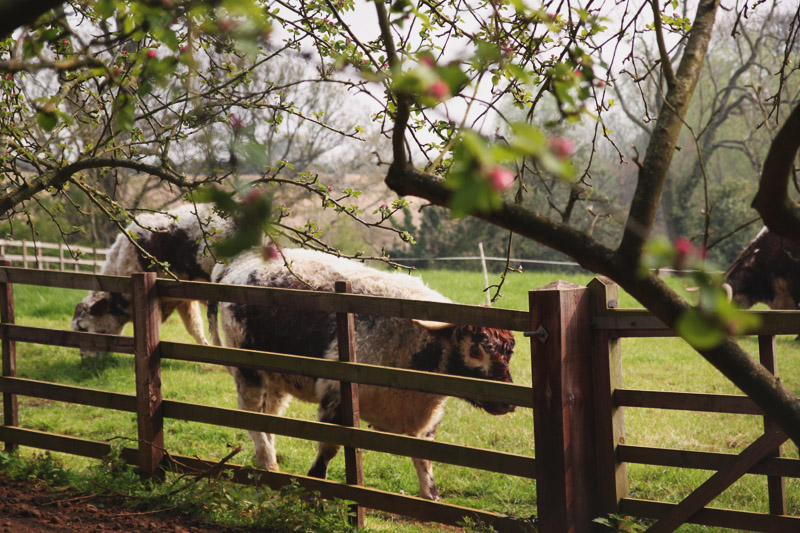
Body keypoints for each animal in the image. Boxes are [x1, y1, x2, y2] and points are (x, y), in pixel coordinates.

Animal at [208, 247, 520, 500]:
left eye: (510, 352)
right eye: (475, 350)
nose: (508, 403)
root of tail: (238, 262)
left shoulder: (423, 418)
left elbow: (424, 460)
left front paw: (431, 497)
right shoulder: (337, 400)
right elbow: (328, 450)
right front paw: (315, 491)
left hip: (276, 377)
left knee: (269, 417)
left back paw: (269, 463)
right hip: (248, 371)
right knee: (252, 418)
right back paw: (268, 460)